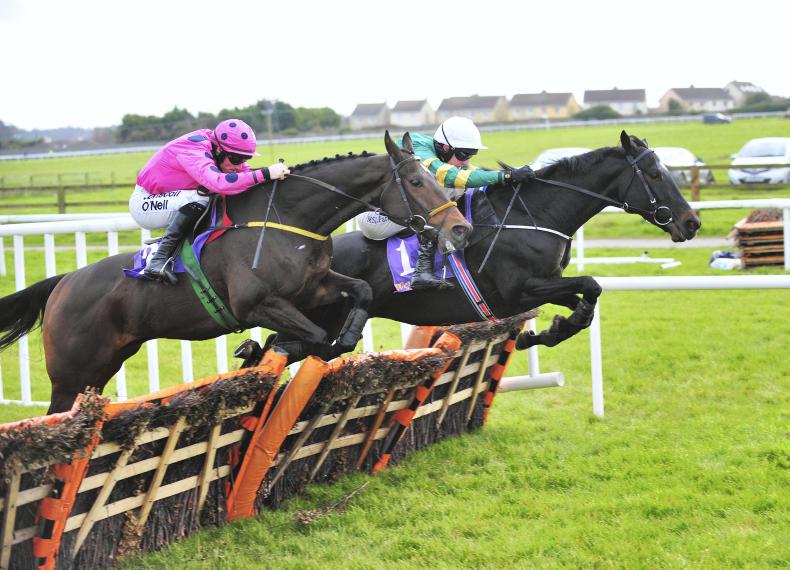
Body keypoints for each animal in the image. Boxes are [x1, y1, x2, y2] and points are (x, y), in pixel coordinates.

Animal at [0, 132, 472, 412]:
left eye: (435, 176)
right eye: (416, 182)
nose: (460, 228)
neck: (287, 220)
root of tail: (62, 284)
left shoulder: (313, 288)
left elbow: (360, 295)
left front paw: (339, 337)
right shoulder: (256, 304)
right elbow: (315, 336)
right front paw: (259, 350)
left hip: (103, 366)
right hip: (72, 373)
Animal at [266, 131, 701, 356]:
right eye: (654, 173)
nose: (691, 222)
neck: (533, 215)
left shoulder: (546, 285)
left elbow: (586, 299)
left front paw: (547, 331)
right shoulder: (518, 290)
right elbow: (590, 284)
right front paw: (548, 331)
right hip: (324, 318)